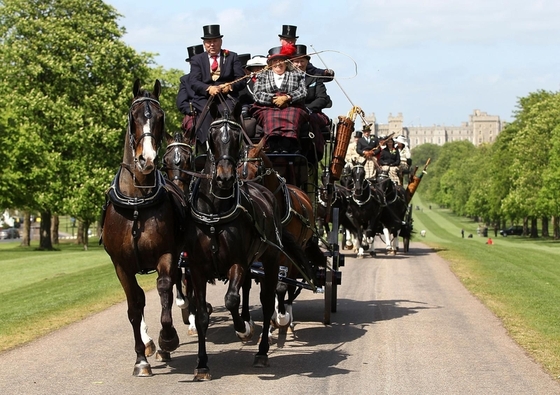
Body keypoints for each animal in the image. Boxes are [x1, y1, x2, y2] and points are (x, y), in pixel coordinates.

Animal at [101, 79, 185, 378]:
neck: (136, 202)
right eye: (133, 116)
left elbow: (164, 289)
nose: (146, 159)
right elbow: (134, 306)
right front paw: (141, 357)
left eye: (160, 117)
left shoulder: (167, 254)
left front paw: (168, 338)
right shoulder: (121, 265)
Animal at [238, 138, 326, 332]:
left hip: (297, 250)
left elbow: (282, 285)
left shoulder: (285, 254)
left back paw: (286, 314)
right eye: (238, 169)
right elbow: (254, 282)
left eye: (257, 170)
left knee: (290, 282)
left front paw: (282, 316)